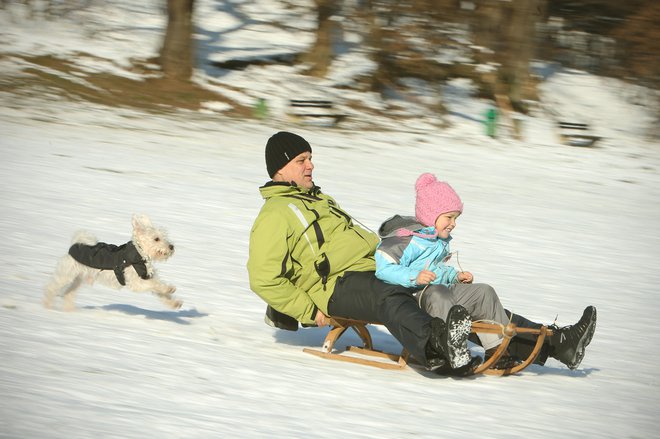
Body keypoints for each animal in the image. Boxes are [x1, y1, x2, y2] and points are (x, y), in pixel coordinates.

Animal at [43, 215, 180, 312]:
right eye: (156, 239)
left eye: (164, 236)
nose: (172, 246)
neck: (140, 254)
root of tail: (73, 246)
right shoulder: (137, 282)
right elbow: (155, 285)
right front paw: (169, 288)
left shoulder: (146, 277)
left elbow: (160, 292)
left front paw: (175, 303)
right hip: (65, 276)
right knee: (51, 288)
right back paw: (47, 307)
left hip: (78, 279)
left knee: (68, 293)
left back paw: (69, 311)